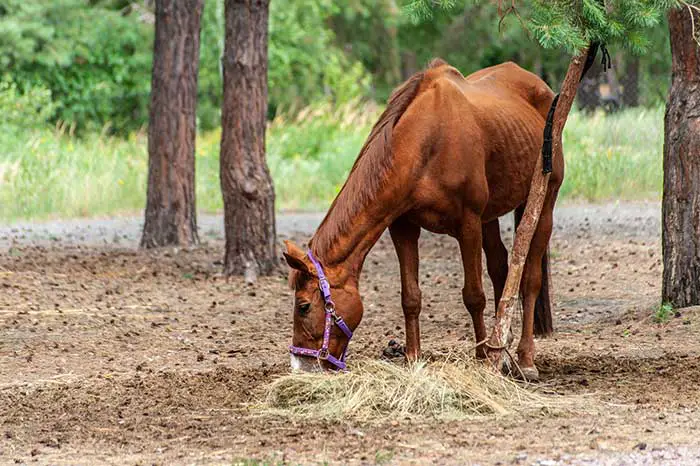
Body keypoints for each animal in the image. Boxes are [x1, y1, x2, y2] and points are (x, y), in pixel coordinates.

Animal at [284, 58, 563, 381]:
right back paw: (501, 347)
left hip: (543, 202)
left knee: (529, 279)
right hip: (490, 217)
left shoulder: (468, 225)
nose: (301, 365)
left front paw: (481, 357)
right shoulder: (403, 227)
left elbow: (473, 295)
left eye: (303, 306)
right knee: (501, 269)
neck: (424, 143)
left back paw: (525, 358)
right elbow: (411, 296)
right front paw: (413, 358)